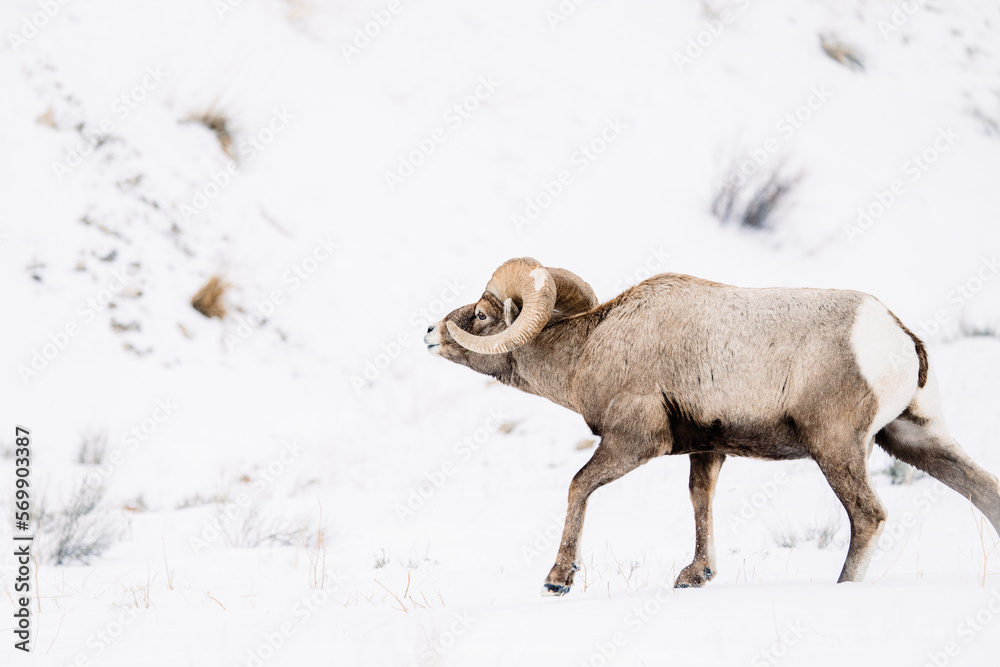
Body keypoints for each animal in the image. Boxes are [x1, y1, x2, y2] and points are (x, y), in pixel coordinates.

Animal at [423, 257, 1000, 596]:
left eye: (480, 315)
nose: (430, 332)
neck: (592, 348)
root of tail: (898, 336)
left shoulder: (635, 441)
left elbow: (578, 486)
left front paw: (558, 580)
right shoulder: (708, 449)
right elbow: (701, 500)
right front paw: (694, 576)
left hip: (837, 448)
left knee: (868, 516)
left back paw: (841, 588)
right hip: (915, 437)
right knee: (984, 494)